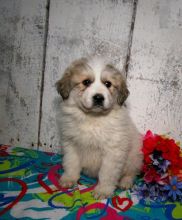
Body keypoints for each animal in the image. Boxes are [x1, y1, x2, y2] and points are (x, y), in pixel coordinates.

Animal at [56, 56, 143, 199]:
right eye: (86, 82)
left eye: (108, 84)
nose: (98, 97)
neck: (93, 119)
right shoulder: (71, 144)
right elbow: (71, 163)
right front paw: (69, 179)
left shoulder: (113, 152)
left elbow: (107, 174)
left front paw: (103, 190)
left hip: (133, 158)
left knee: (131, 173)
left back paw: (125, 182)